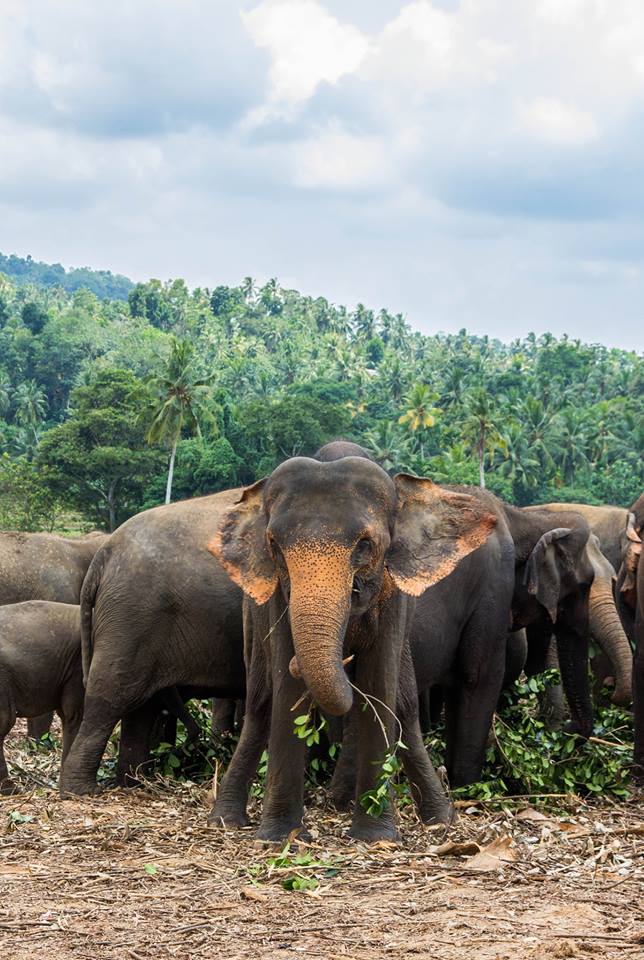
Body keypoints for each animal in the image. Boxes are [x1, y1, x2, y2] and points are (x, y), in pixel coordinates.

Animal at [58, 488, 244, 796]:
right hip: (132, 615)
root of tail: (105, 552)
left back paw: (134, 783)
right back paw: (83, 790)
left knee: (139, 705)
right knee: (110, 695)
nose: (195, 741)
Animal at [209, 446, 500, 836]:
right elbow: (286, 691)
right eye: (274, 546)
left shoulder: (393, 597)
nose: (345, 656)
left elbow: (379, 686)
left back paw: (438, 820)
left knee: (405, 705)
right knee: (259, 701)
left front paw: (375, 837)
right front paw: (279, 837)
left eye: (365, 545)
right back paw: (225, 819)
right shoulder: (276, 603)